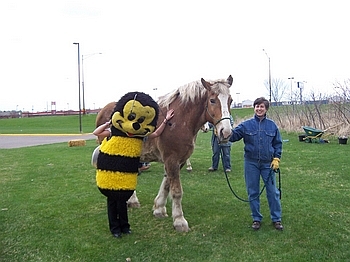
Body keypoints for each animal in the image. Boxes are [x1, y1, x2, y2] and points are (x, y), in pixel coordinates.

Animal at [95, 75, 232, 231]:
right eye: (212, 100)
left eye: (230, 100)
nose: (226, 132)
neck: (179, 120)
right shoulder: (171, 159)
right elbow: (176, 191)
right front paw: (179, 220)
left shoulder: (178, 161)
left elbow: (167, 186)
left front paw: (159, 209)